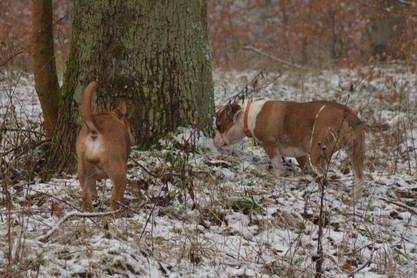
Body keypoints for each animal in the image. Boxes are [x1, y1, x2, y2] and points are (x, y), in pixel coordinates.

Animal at [75, 81, 133, 211]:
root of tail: (95, 129)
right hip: (119, 172)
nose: (133, 137)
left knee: (85, 196)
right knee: (114, 200)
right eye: (129, 126)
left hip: (83, 171)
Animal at [213, 101, 402, 201]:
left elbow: (276, 162)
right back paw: (355, 199)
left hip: (318, 152)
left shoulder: (270, 144)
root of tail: (349, 113)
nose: (214, 140)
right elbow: (304, 165)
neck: (248, 115)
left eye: (219, 125)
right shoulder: (301, 154)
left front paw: (278, 175)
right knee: (359, 175)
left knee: (324, 174)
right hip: (356, 151)